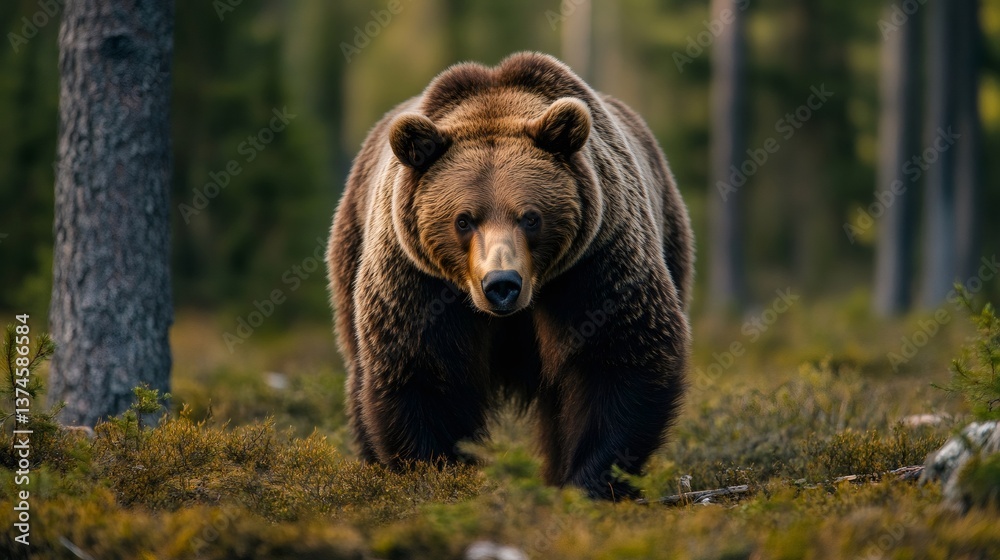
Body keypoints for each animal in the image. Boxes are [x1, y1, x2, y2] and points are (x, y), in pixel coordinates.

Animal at [327, 52, 693, 500]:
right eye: (463, 220)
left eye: (531, 217)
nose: (501, 284)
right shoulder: (417, 280)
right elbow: (423, 371)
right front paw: (438, 474)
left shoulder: (596, 263)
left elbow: (619, 356)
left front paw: (586, 482)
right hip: (351, 246)